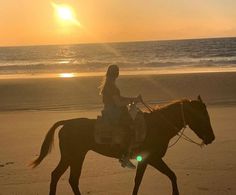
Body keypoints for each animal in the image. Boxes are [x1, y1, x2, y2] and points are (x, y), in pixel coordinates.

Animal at [31, 95, 216, 194]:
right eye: (201, 117)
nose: (211, 138)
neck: (157, 126)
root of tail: (67, 123)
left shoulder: (149, 160)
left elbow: (167, 176)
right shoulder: (151, 159)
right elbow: (148, 179)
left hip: (76, 156)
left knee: (68, 178)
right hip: (72, 155)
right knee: (60, 176)